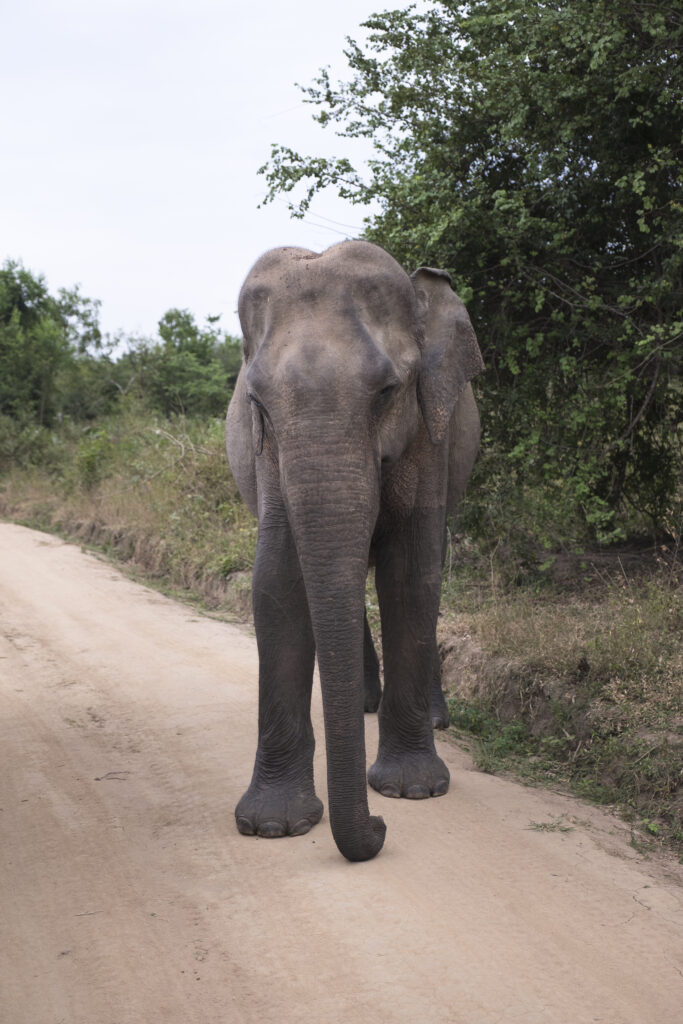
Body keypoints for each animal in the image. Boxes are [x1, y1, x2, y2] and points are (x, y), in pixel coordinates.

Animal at [225, 240, 483, 862]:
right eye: (256, 402)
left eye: (388, 393)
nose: (381, 828)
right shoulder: (269, 455)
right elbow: (278, 580)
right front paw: (273, 826)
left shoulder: (429, 429)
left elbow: (412, 574)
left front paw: (413, 791)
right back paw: (365, 702)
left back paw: (431, 719)